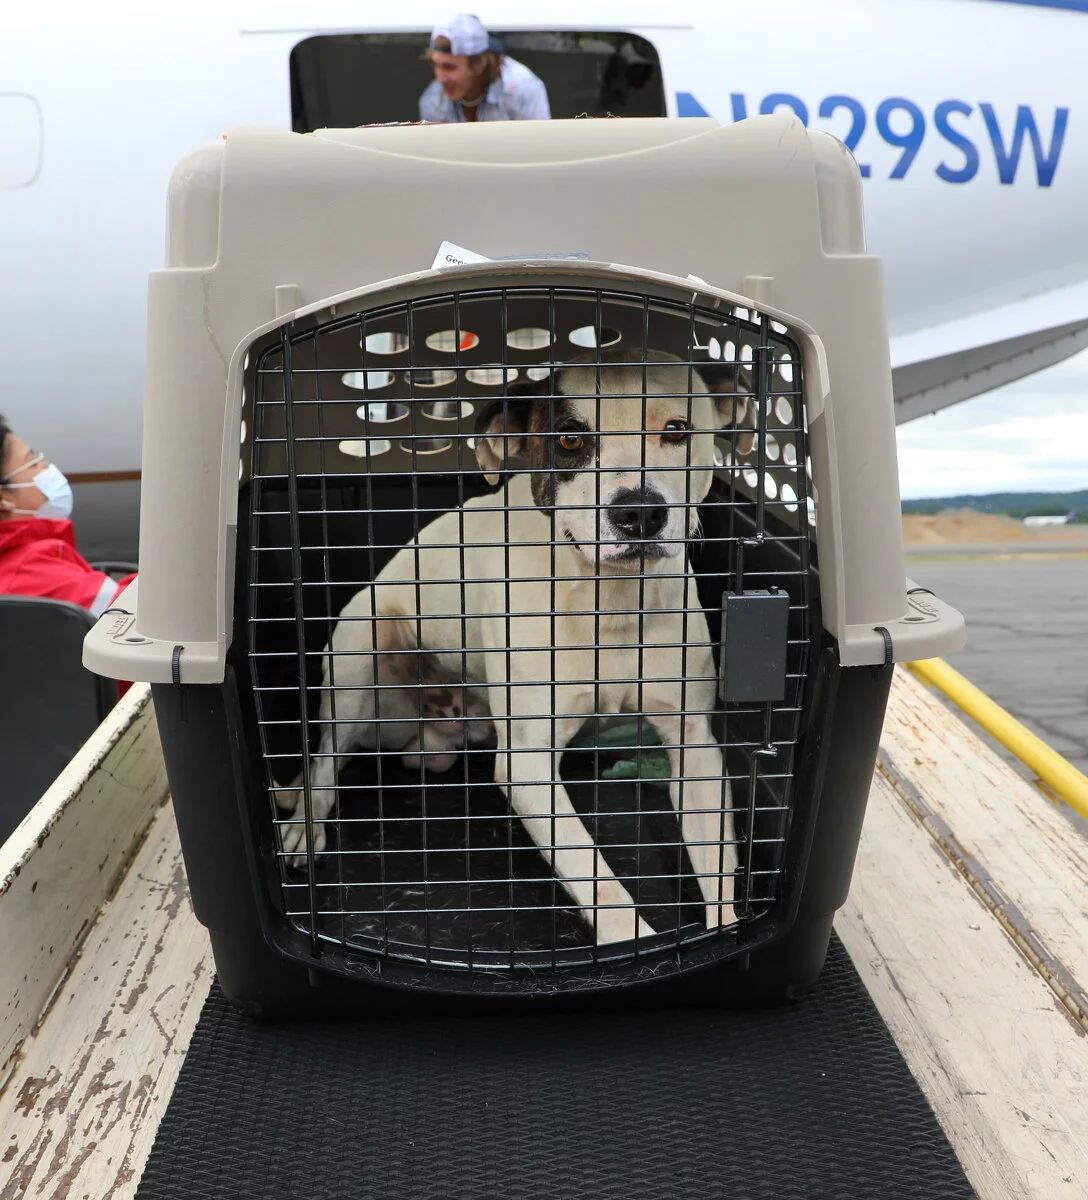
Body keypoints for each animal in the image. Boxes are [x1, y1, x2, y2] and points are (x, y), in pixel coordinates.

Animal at [280, 350, 753, 940]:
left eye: (677, 430)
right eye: (570, 439)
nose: (639, 511)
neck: (609, 599)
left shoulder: (695, 748)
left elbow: (719, 871)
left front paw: (725, 940)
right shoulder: (528, 761)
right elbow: (595, 875)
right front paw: (631, 946)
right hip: (357, 658)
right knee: (323, 764)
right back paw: (304, 826)